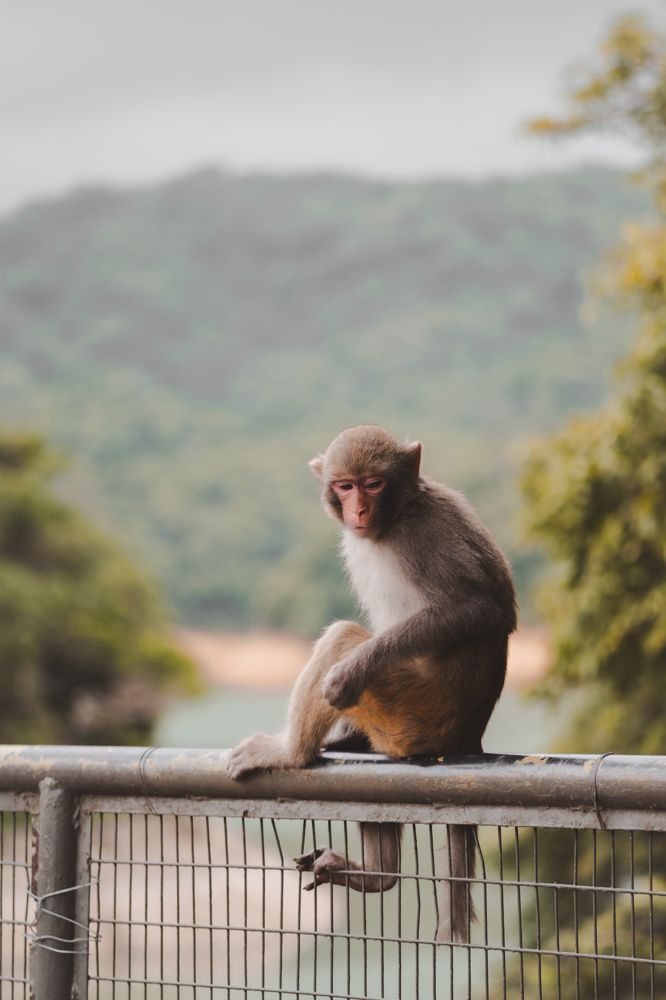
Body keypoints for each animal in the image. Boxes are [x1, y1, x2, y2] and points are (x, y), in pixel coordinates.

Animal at [226, 424, 517, 942]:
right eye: (345, 486)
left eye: (373, 484)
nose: (358, 511)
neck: (395, 517)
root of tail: (468, 735)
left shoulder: (423, 534)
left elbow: (477, 607)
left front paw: (350, 671)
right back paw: (377, 874)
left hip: (411, 710)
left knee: (343, 637)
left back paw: (290, 751)